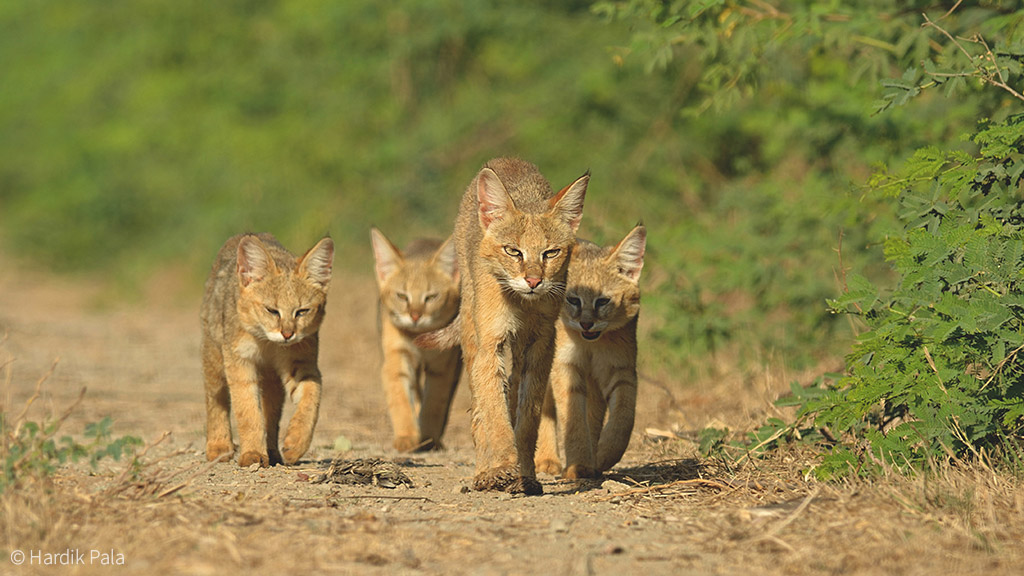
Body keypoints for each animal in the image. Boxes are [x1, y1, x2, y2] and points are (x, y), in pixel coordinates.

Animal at [202, 233, 335, 467]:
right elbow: (247, 412)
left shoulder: (303, 364)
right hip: (215, 362)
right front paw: (253, 454)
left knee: (271, 417)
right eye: (272, 310)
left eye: (302, 311)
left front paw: (296, 442)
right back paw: (219, 446)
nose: (287, 334)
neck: (268, 345)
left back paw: (273, 452)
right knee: (215, 400)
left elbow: (312, 398)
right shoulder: (240, 363)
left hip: (273, 384)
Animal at [370, 226, 462, 450]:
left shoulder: (442, 366)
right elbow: (401, 402)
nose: (415, 316)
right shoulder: (396, 360)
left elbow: (434, 405)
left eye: (431, 297)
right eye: (402, 296)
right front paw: (406, 437)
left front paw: (429, 438)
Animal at [446, 156, 585, 494]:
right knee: (479, 407)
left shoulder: (542, 342)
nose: (533, 281)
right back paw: (483, 472)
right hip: (472, 332)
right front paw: (501, 468)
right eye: (513, 250)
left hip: (521, 348)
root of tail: (506, 159)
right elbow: (494, 411)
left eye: (551, 252)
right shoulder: (490, 342)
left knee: (514, 387)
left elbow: (528, 414)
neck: (523, 303)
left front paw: (525, 475)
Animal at [532, 222, 643, 477]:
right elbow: (572, 419)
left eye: (602, 301)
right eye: (573, 300)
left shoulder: (620, 369)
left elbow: (624, 416)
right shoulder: (565, 366)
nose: (586, 324)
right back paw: (546, 460)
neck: (591, 345)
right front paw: (579, 464)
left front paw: (602, 456)